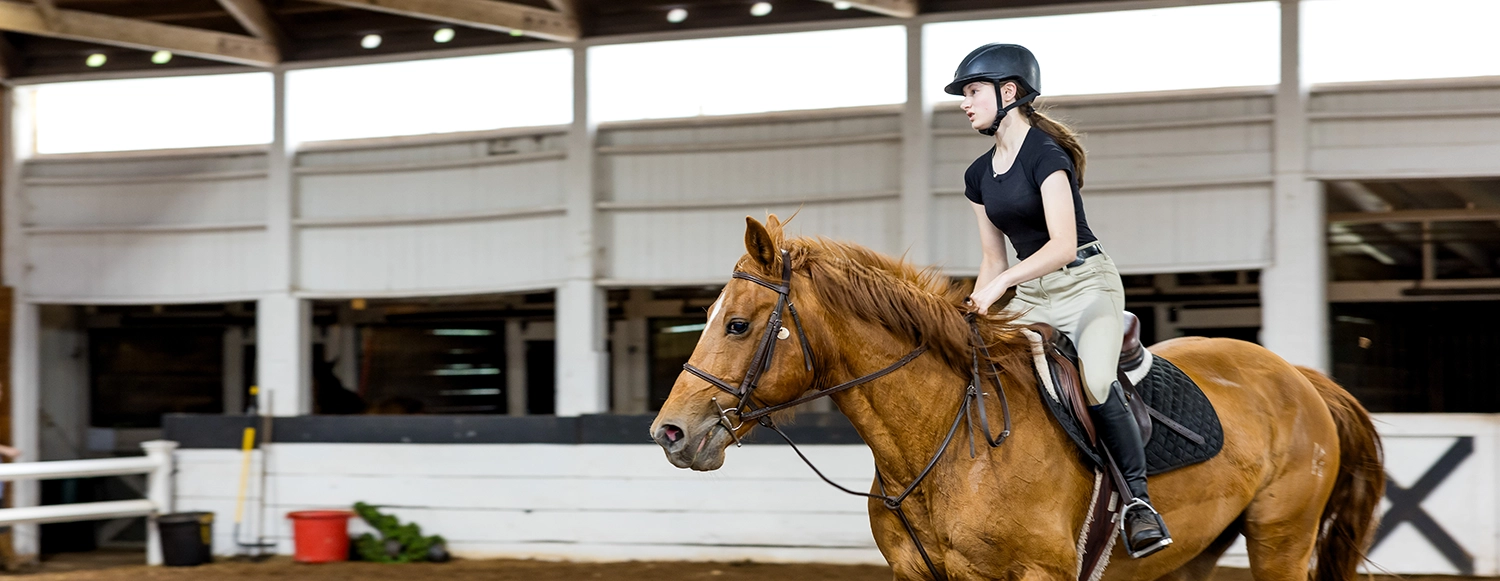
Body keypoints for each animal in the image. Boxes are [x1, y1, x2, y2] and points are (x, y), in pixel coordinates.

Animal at [650, 215, 1383, 581]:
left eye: (736, 324)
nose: (669, 432)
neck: (943, 439)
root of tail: (1296, 375)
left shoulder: (1037, 574)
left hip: (1280, 540)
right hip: (1197, 551)